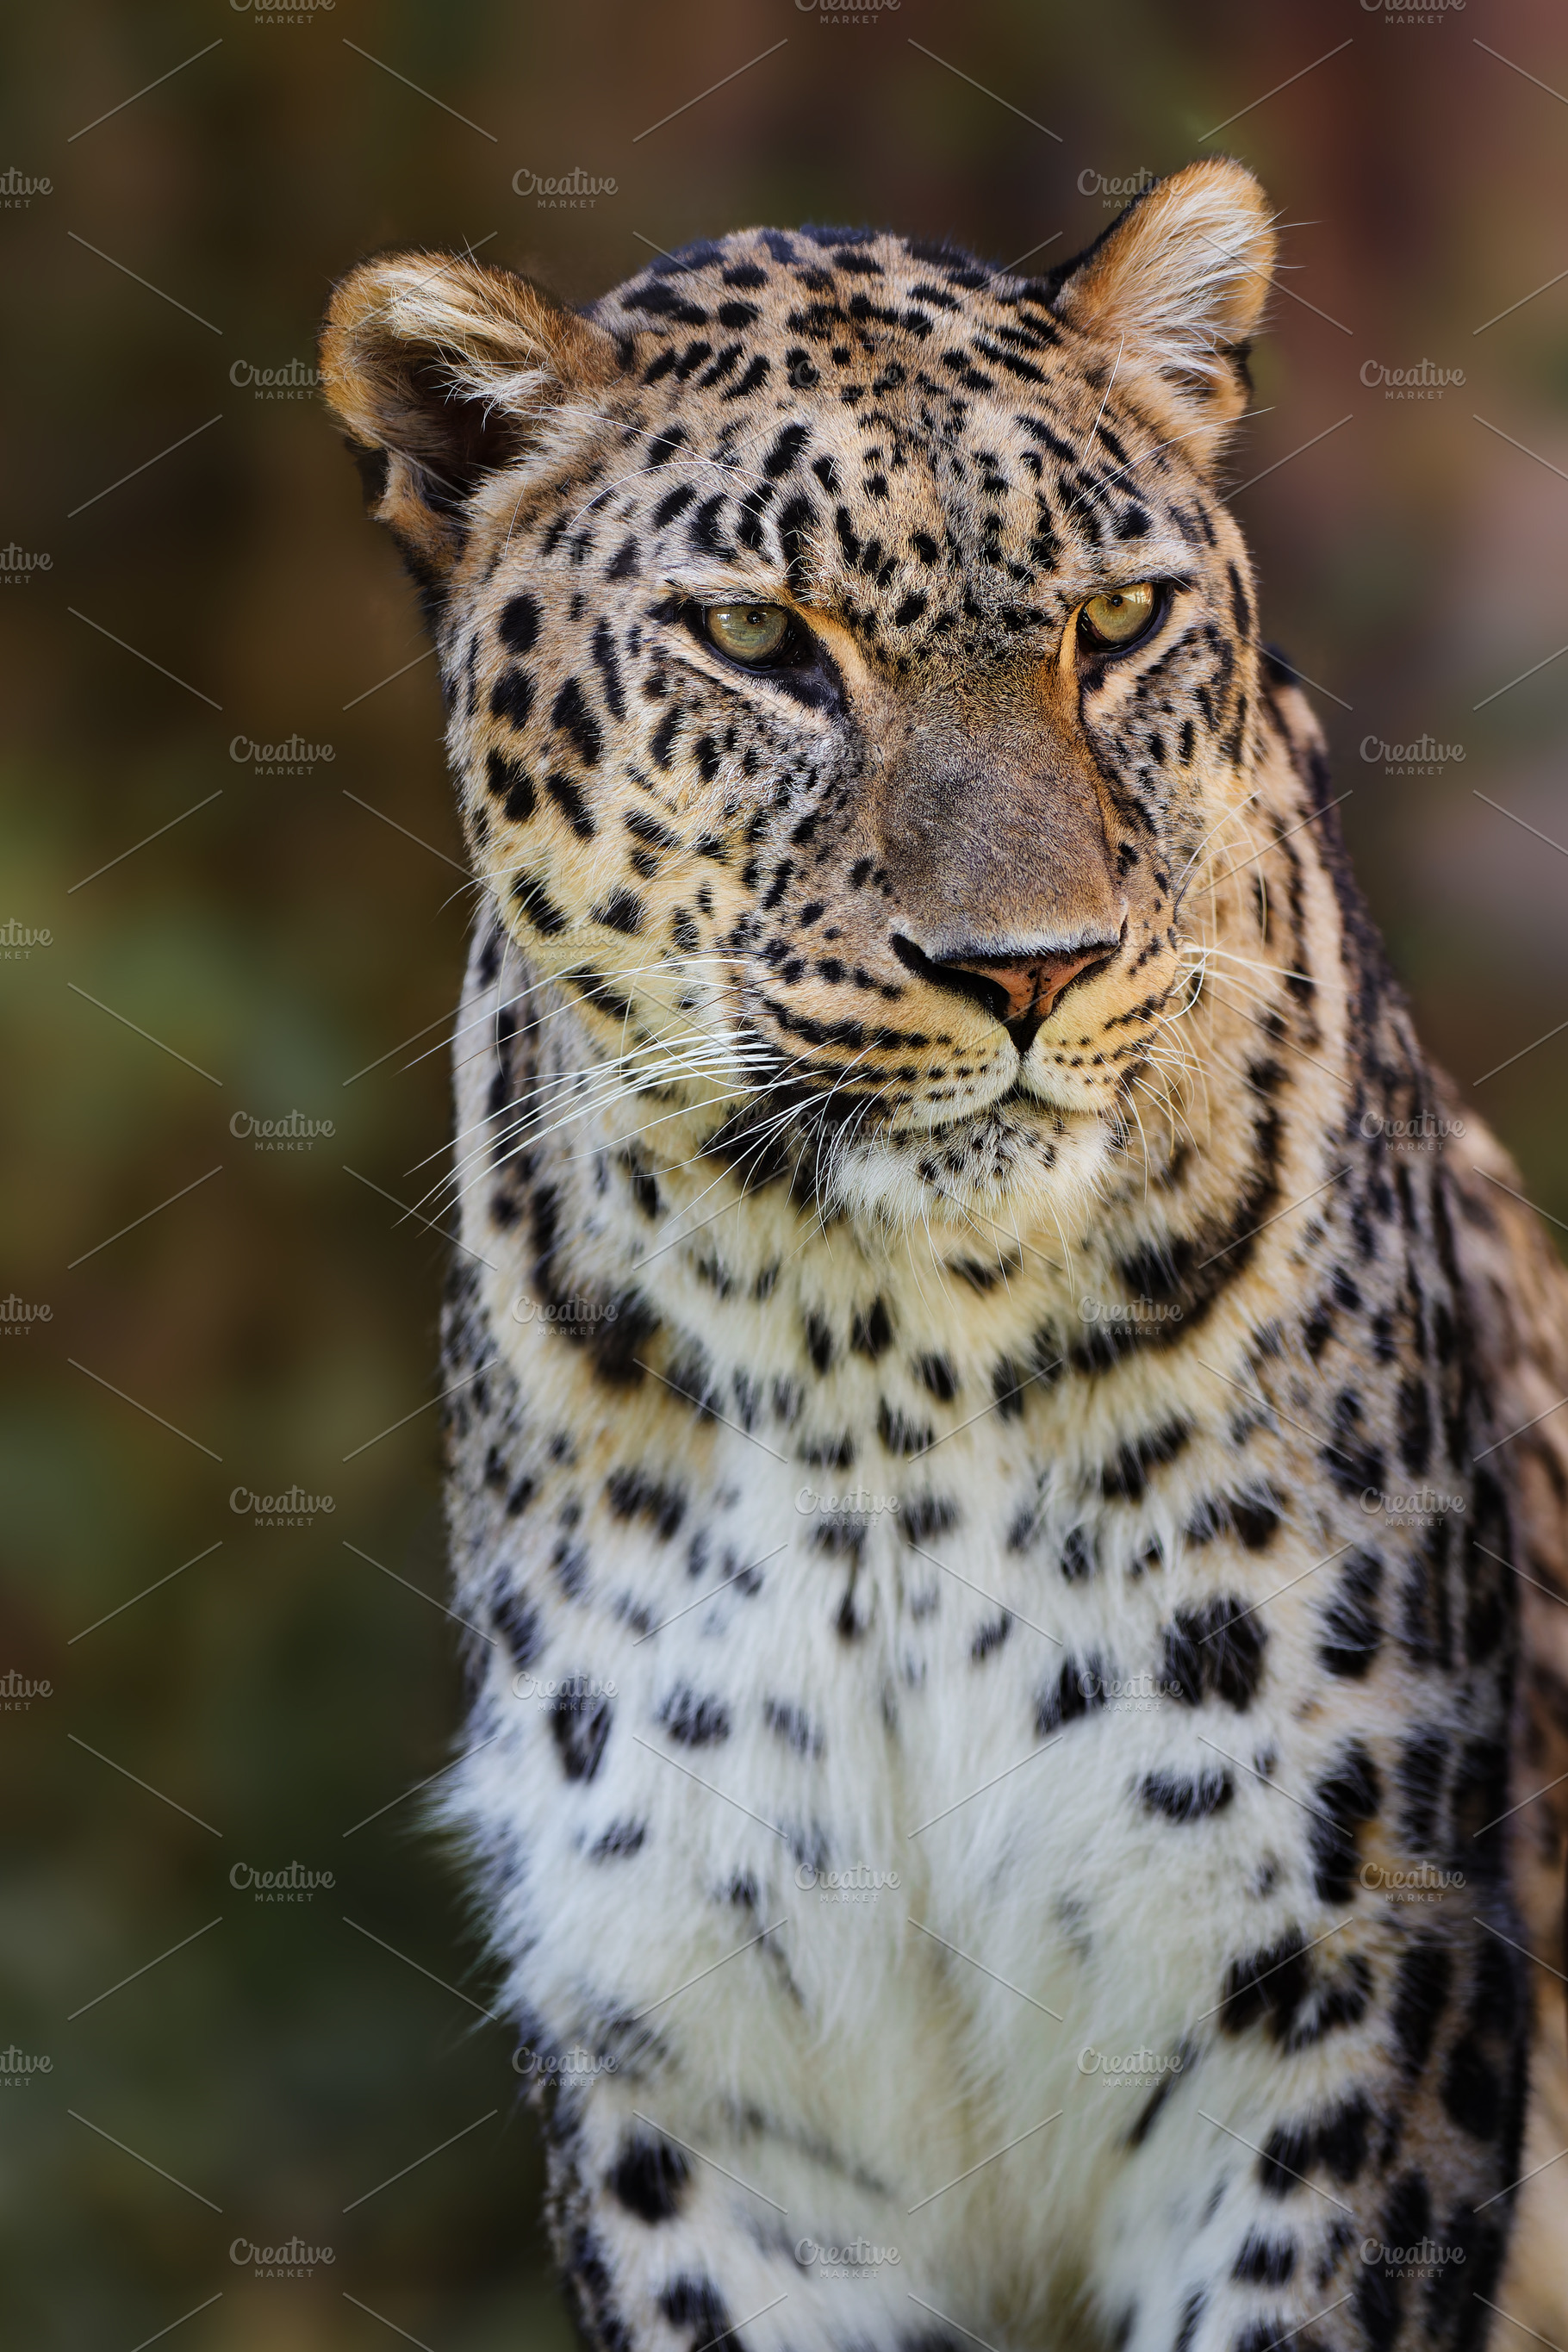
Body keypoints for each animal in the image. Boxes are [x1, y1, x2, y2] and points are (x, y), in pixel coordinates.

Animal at [320, 160, 1568, 2352]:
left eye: (1118, 622)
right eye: (757, 638)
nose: (1030, 969)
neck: (874, 1360)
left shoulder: (1345, 2002)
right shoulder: (701, 2084)